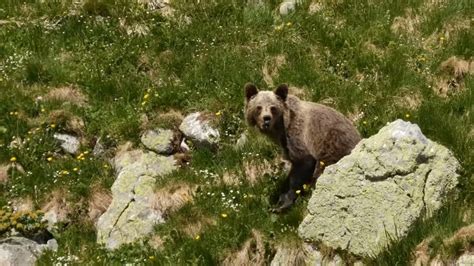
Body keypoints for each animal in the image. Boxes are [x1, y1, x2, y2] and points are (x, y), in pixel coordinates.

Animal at [243, 83, 362, 212]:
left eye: (273, 107)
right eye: (258, 107)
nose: (266, 119)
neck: (281, 128)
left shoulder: (297, 134)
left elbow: (303, 162)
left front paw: (284, 203)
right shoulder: (285, 144)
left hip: (334, 143)